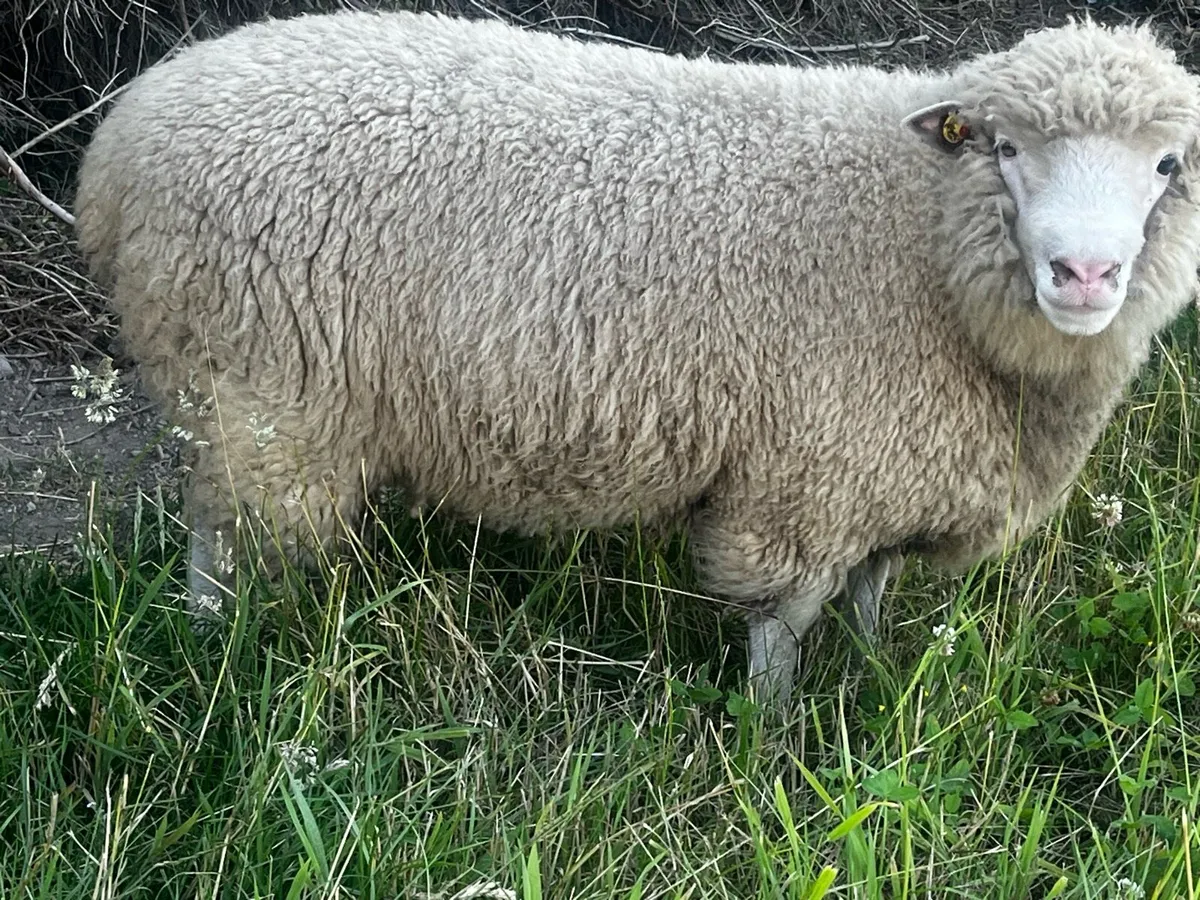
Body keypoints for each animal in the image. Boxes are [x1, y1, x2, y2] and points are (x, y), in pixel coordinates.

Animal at [74, 10, 1200, 702]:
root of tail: (121, 143)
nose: (1085, 274)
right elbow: (783, 619)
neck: (918, 234)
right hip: (255, 389)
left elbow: (871, 591)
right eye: (1006, 149)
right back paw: (220, 659)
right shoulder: (809, 469)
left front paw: (873, 679)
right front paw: (770, 738)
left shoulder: (893, 460)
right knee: (219, 542)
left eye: (1166, 165)